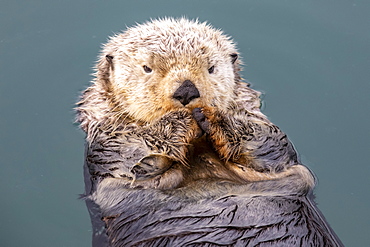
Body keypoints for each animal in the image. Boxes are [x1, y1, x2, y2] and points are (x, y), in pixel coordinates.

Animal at [76, 17, 344, 247]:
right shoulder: (108, 145)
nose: (186, 90)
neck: (198, 148)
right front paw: (180, 122)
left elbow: (269, 144)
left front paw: (215, 120)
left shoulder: (270, 145)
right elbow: (130, 152)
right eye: (147, 68)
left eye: (212, 68)